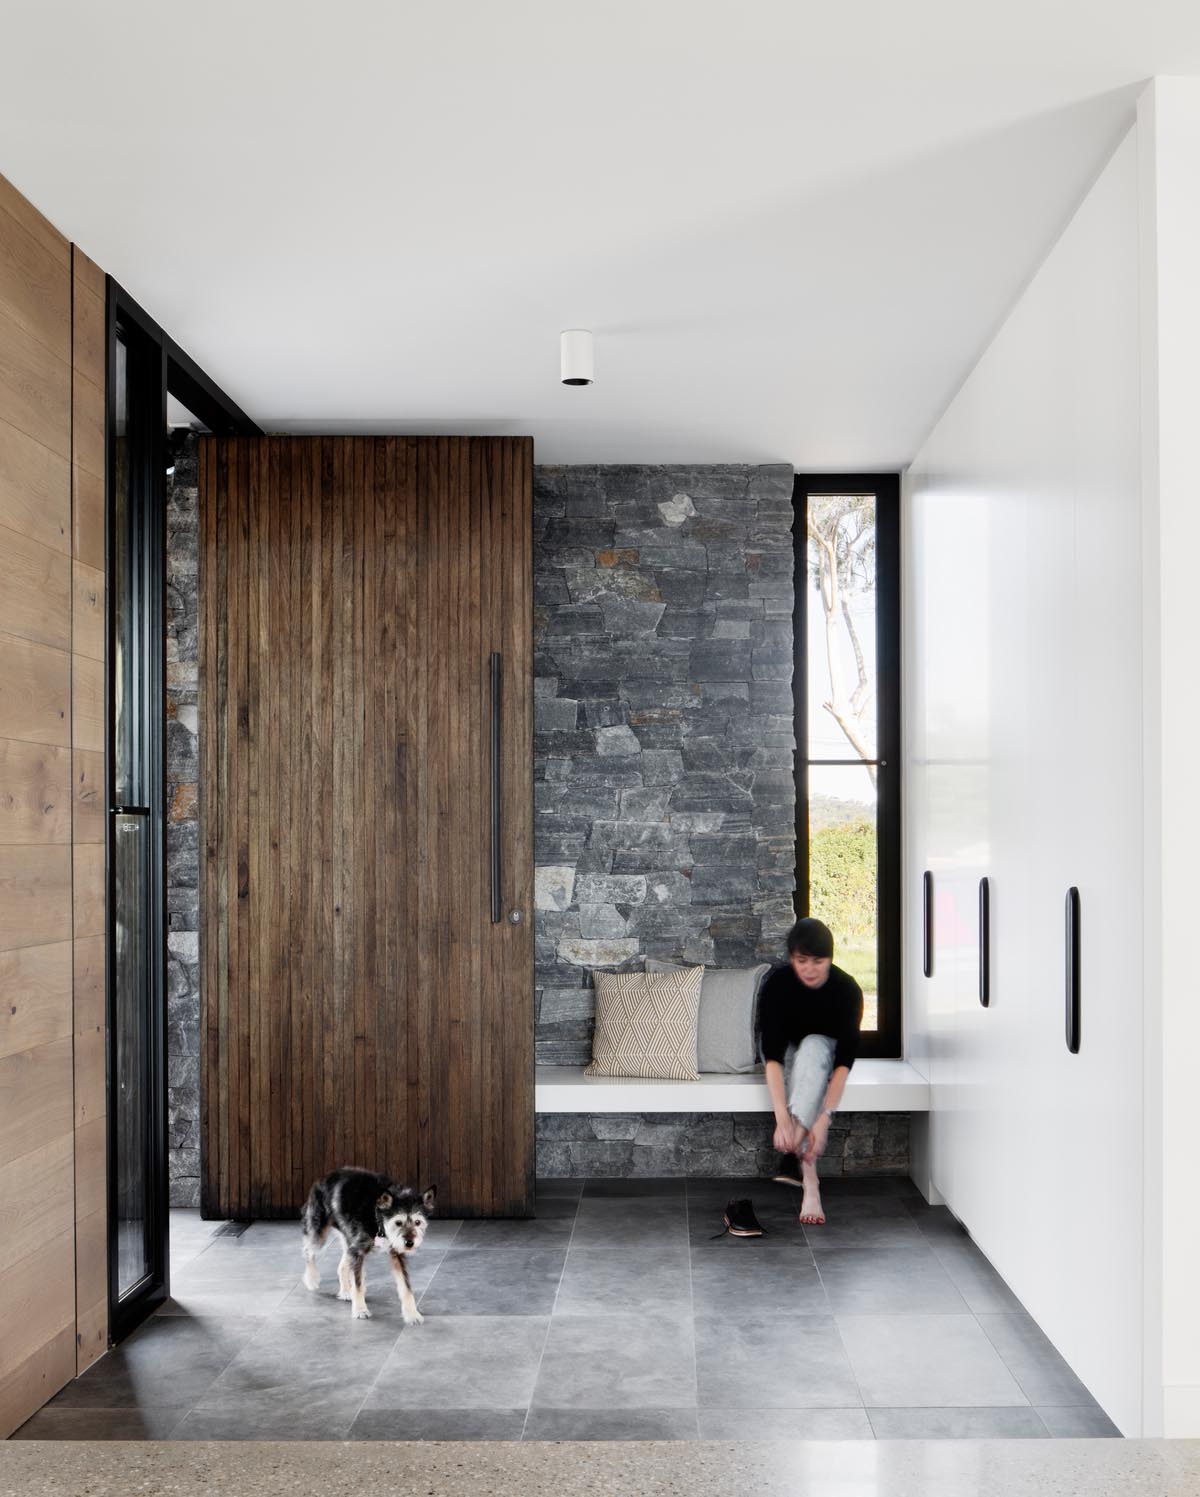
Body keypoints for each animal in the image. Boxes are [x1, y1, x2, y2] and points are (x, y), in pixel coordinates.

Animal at [299, 1167, 433, 1323]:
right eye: (398, 1222)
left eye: (418, 1222)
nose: (410, 1243)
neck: (377, 1216)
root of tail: (322, 1179)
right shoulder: (358, 1252)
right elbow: (358, 1284)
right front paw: (360, 1310)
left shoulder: (396, 1253)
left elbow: (406, 1286)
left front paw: (412, 1314)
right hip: (319, 1233)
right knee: (307, 1250)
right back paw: (311, 1279)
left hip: (348, 1241)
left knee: (341, 1266)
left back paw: (345, 1291)